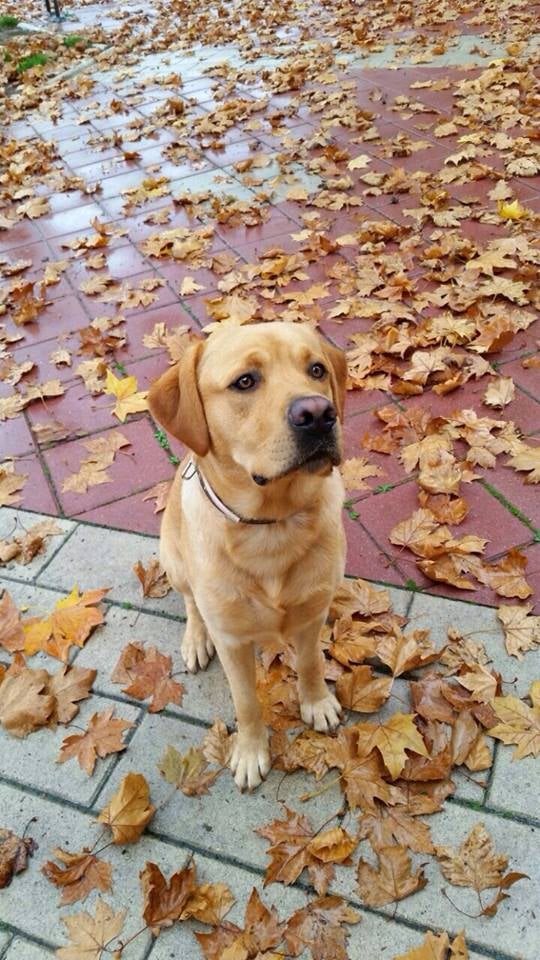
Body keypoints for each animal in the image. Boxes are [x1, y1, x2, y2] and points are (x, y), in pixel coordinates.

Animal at [150, 320, 348, 788]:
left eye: (316, 369)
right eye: (245, 381)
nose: (318, 413)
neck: (271, 527)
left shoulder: (312, 615)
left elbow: (311, 664)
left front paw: (316, 702)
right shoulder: (233, 641)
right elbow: (246, 702)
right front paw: (251, 750)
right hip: (172, 557)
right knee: (191, 603)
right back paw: (195, 638)